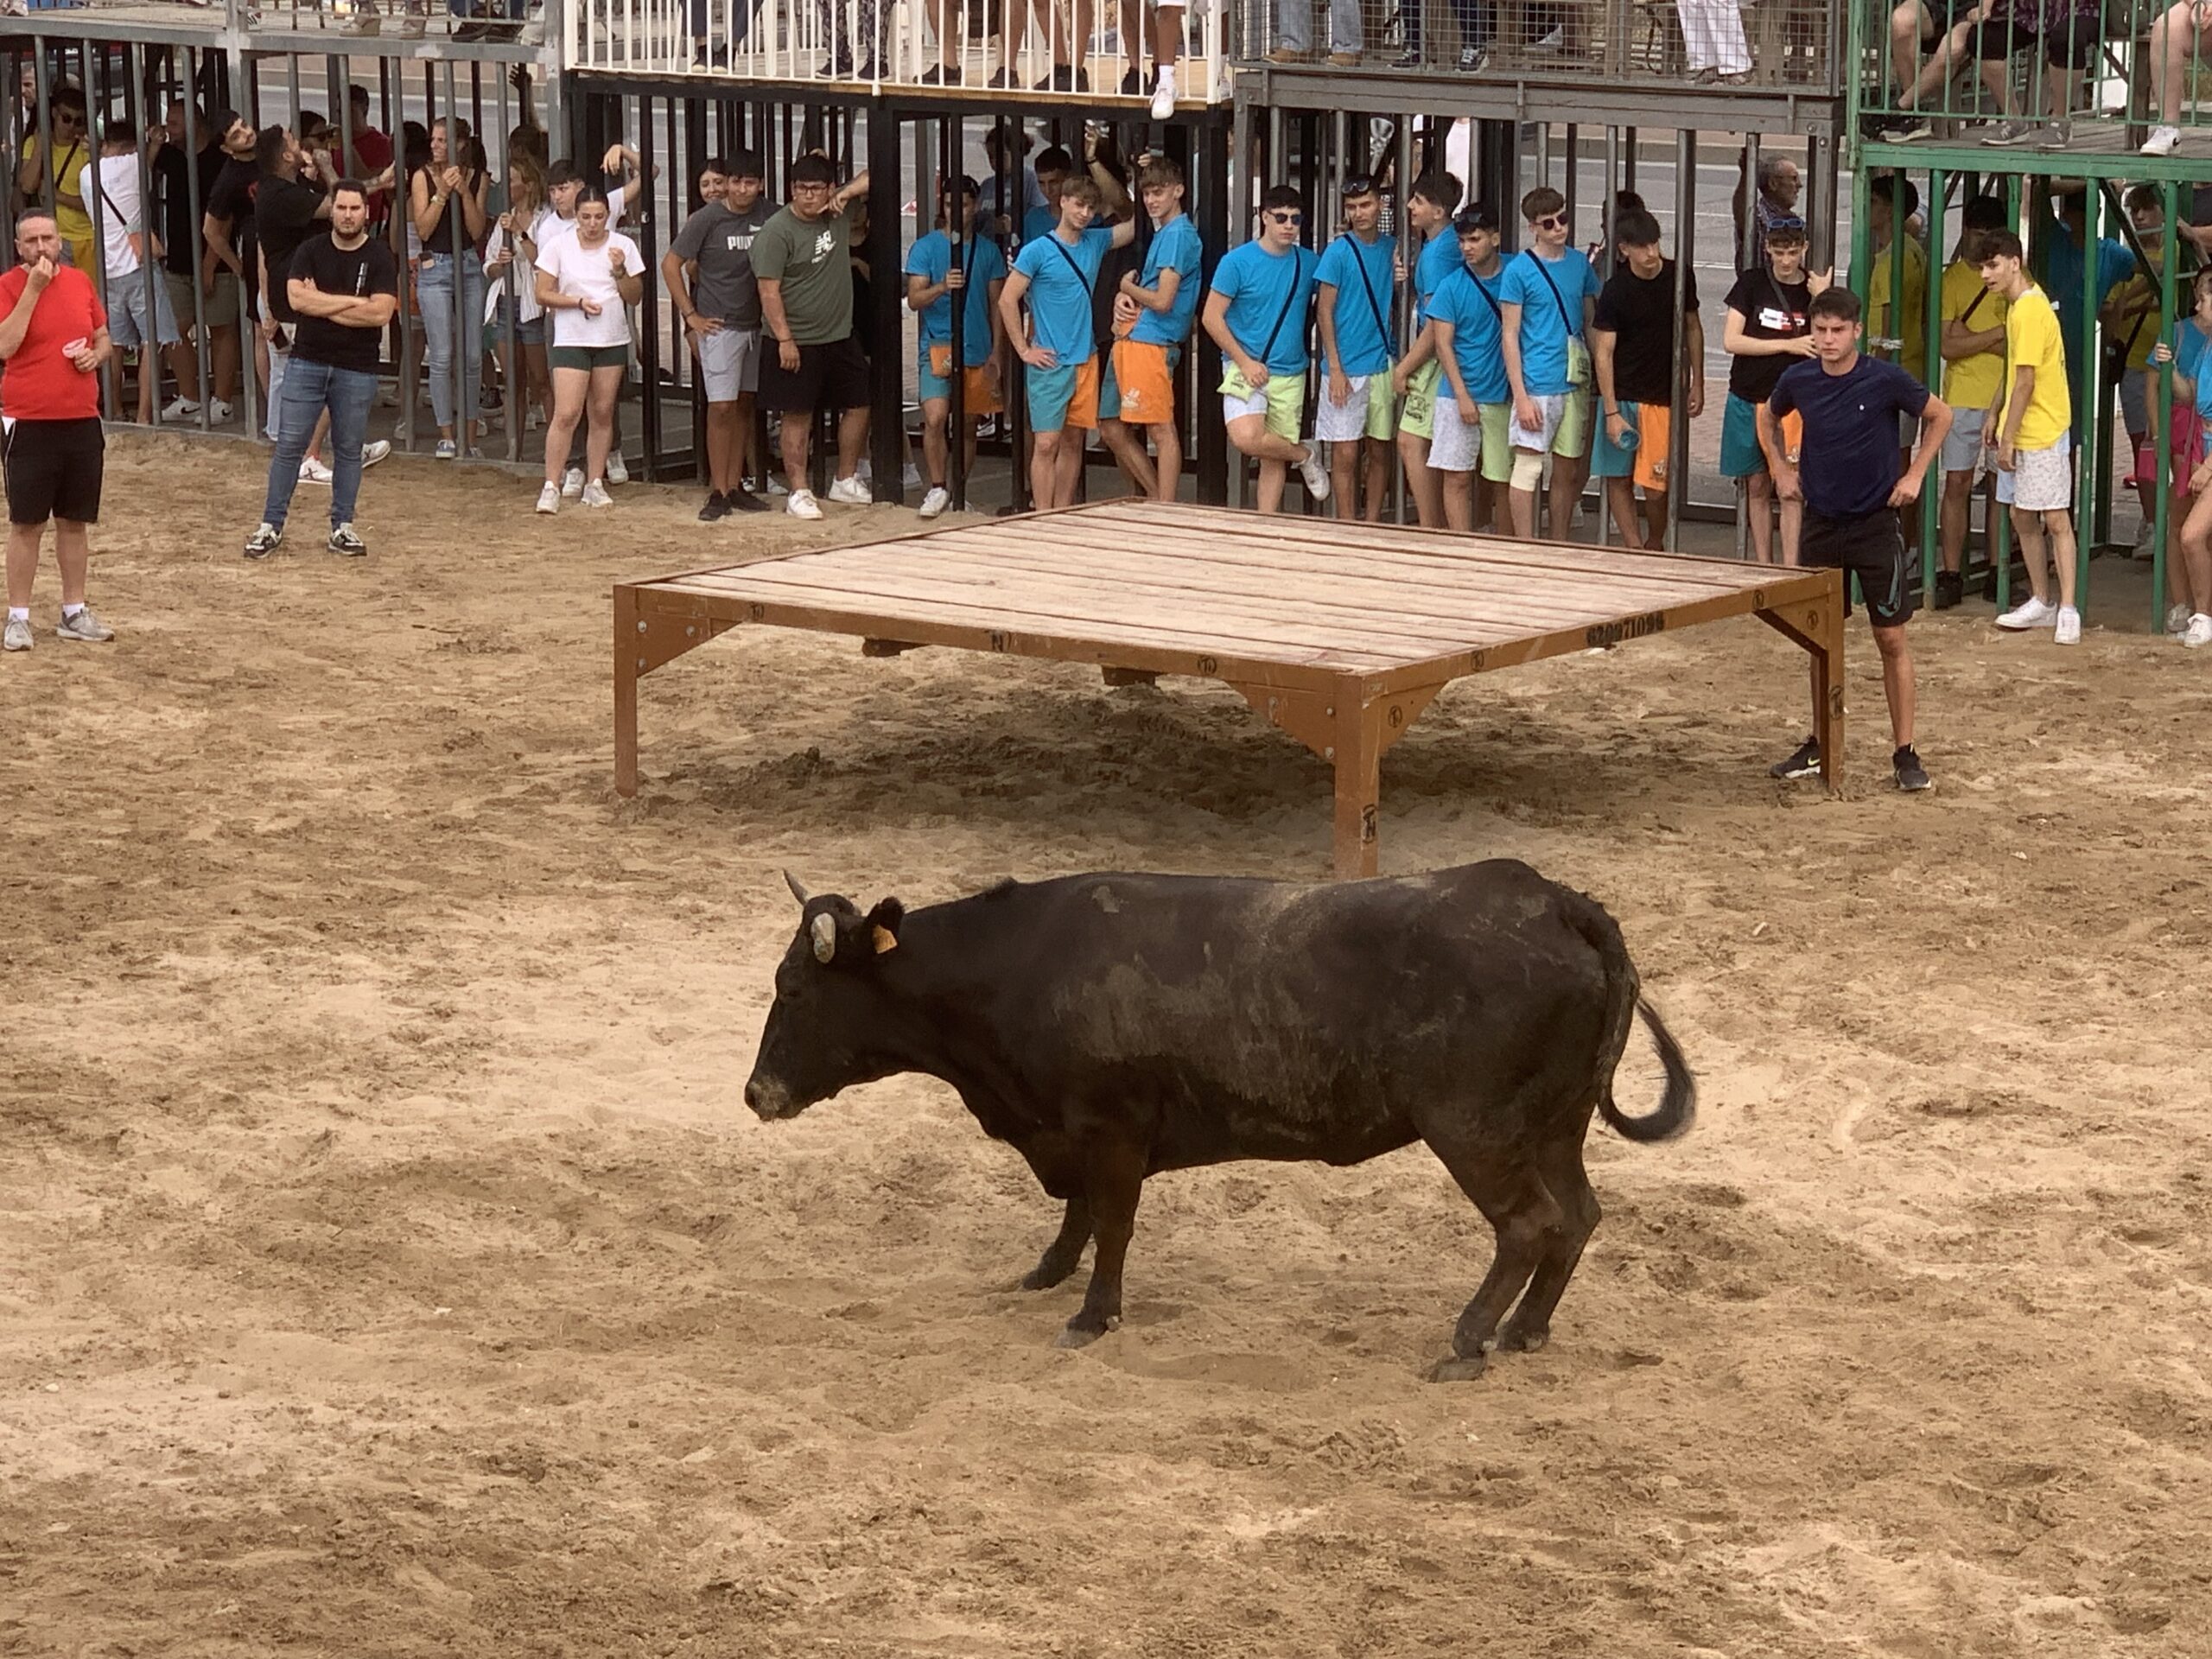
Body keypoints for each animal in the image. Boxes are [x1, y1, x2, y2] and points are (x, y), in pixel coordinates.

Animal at [743, 862, 1689, 1380]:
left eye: (793, 989)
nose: (756, 1094)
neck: (1018, 968)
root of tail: (1552, 899)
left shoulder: (1111, 1128)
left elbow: (1111, 1222)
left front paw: (1092, 1315)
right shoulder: (1075, 1131)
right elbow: (1077, 1214)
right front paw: (1046, 1274)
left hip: (1477, 1132)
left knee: (1528, 1225)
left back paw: (1468, 1340)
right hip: (1553, 1127)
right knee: (1576, 1217)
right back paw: (1525, 1331)